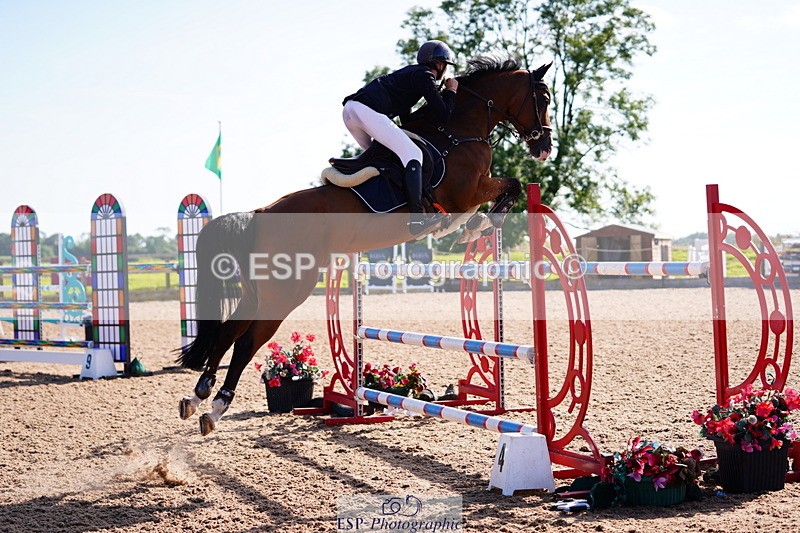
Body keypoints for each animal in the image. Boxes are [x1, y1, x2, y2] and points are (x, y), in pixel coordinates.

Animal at [177, 57, 553, 435]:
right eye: (544, 97)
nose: (544, 148)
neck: (457, 132)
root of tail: (259, 214)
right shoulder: (468, 191)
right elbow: (511, 185)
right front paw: (483, 223)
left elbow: (499, 193)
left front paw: (473, 227)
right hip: (286, 291)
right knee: (245, 343)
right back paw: (217, 407)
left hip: (260, 290)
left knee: (228, 330)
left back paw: (197, 397)